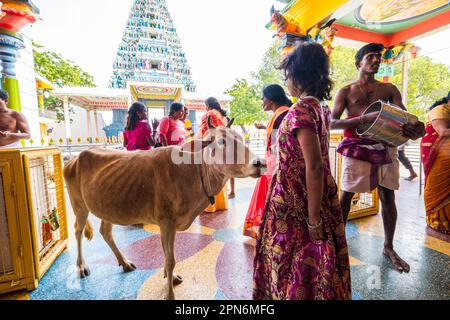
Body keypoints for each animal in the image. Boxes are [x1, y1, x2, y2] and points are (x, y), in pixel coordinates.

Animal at [63, 122, 264, 300]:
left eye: (241, 138)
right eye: (222, 141)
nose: (259, 162)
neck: (194, 173)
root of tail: (74, 158)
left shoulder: (165, 224)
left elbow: (166, 256)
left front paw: (170, 277)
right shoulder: (166, 222)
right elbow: (170, 259)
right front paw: (169, 293)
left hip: (107, 207)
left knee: (105, 231)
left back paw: (125, 263)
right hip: (78, 204)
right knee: (78, 231)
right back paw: (81, 266)